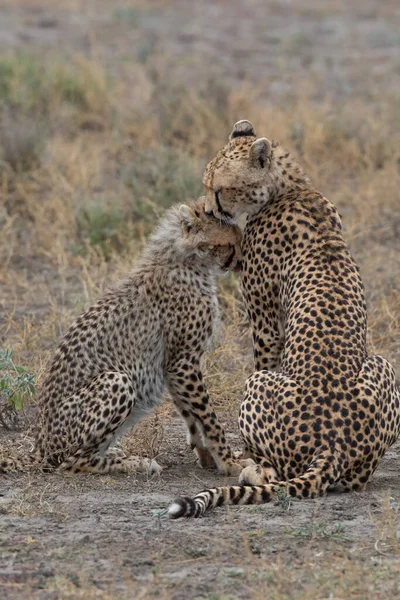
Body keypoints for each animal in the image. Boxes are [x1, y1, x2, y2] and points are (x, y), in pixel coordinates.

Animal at [0, 199, 250, 476]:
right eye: (229, 243)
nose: (241, 263)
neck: (186, 260)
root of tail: (40, 448)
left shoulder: (173, 366)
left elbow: (192, 415)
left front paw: (207, 456)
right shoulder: (184, 361)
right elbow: (208, 417)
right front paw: (230, 463)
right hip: (116, 380)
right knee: (71, 463)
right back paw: (137, 462)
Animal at [170, 120, 400, 516]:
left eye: (220, 188)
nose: (212, 212)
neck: (290, 188)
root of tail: (332, 445)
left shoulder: (263, 320)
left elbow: (265, 353)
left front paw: (243, 456)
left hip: (258, 384)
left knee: (278, 471)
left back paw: (253, 470)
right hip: (383, 365)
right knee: (355, 480)